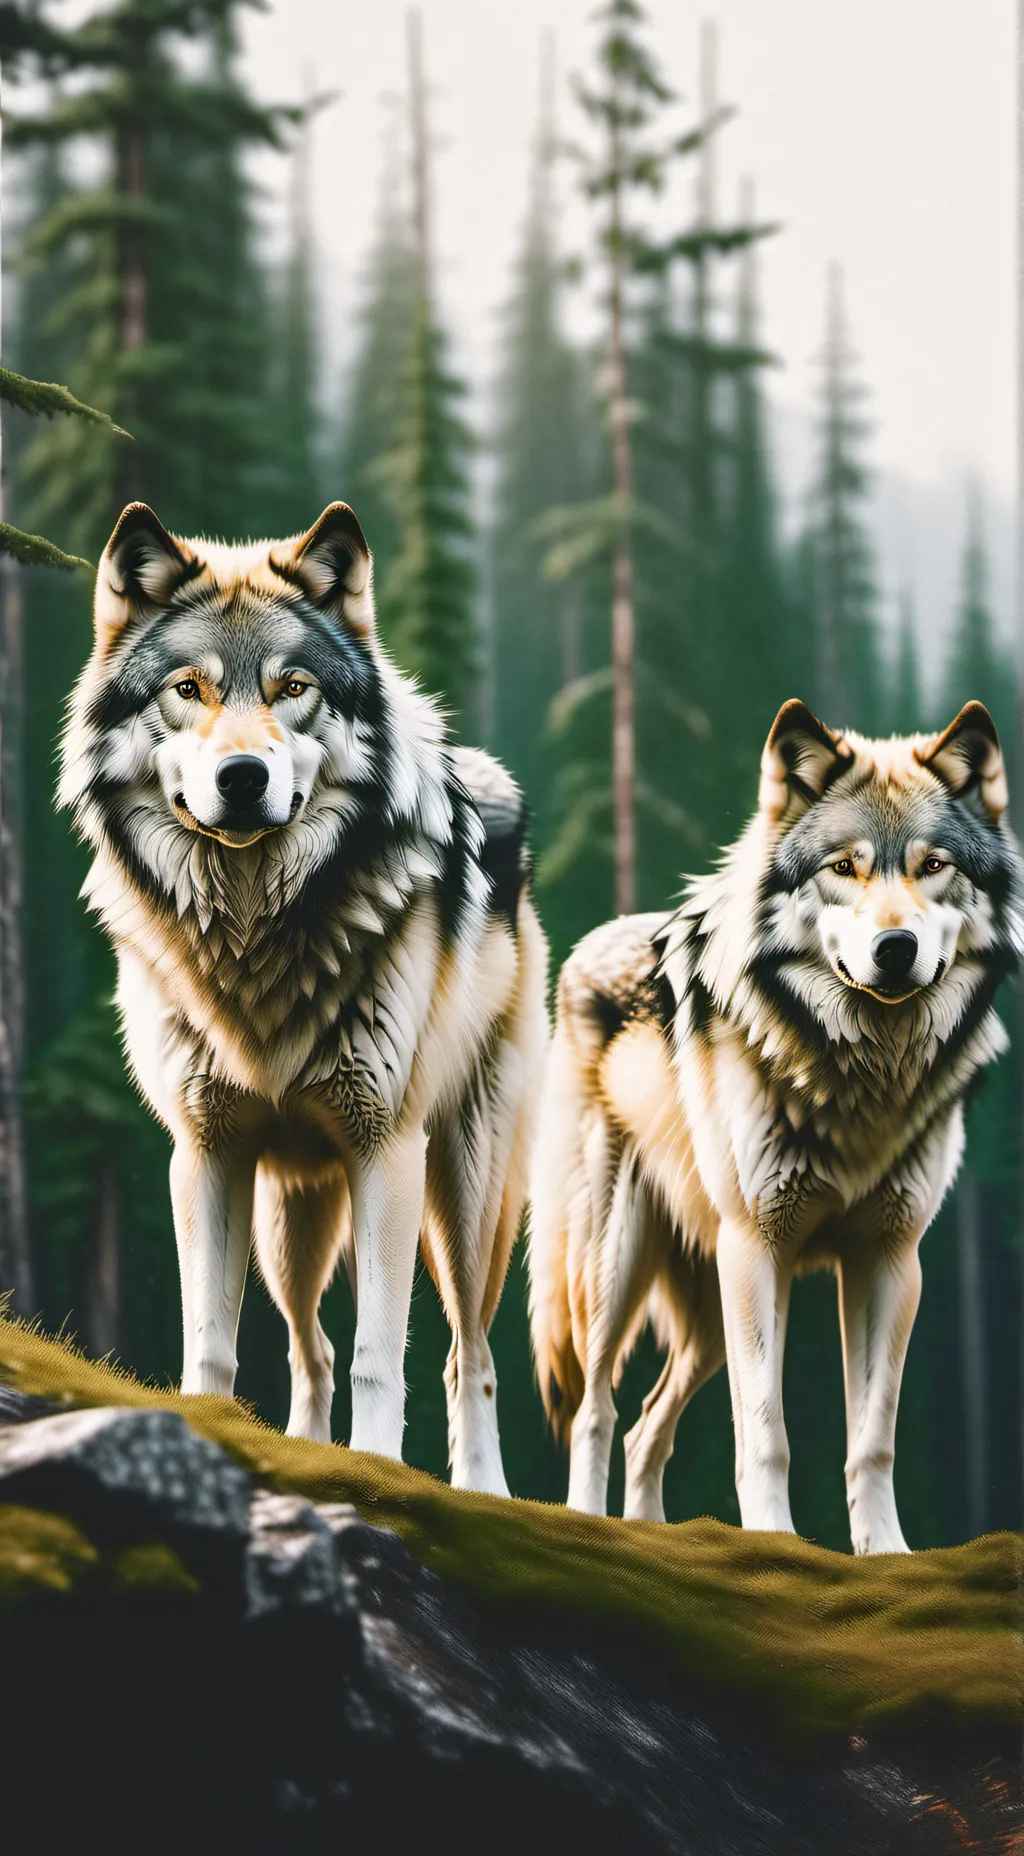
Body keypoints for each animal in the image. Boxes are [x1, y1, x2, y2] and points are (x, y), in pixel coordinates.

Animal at [60, 499, 548, 1492]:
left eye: (293, 688)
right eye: (190, 689)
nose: (243, 778)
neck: (254, 939)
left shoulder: (384, 1150)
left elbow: (381, 1359)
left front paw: (375, 1471)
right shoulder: (205, 1153)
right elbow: (213, 1341)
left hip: (464, 1191)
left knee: (467, 1354)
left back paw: (482, 1488)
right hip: (293, 1213)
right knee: (308, 1345)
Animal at [529, 698, 1023, 1551]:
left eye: (933, 866)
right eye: (843, 869)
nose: (896, 949)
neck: (862, 1075)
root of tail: (592, 941)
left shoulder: (890, 1261)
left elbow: (873, 1438)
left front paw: (886, 1552)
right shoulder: (761, 1249)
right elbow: (766, 1428)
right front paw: (773, 1543)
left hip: (707, 1313)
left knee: (646, 1425)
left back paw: (659, 1539)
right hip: (619, 1265)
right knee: (597, 1411)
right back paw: (593, 1529)